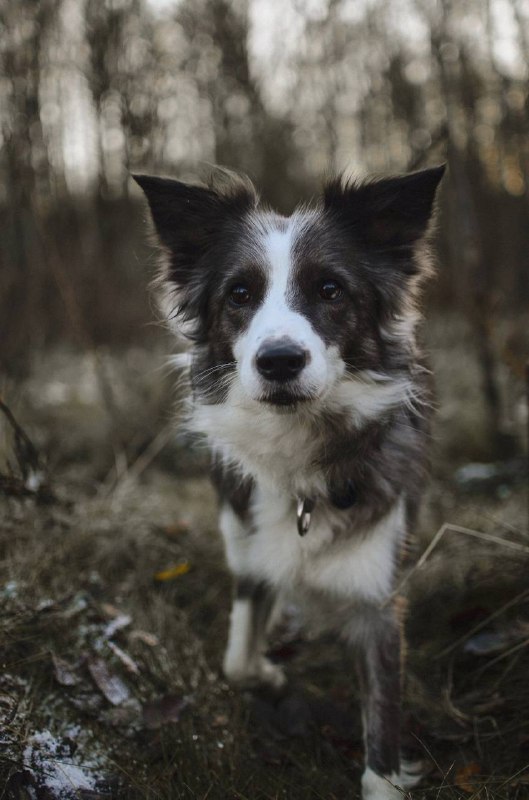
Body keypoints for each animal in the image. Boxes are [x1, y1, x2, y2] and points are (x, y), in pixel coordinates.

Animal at [134, 164, 444, 800]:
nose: (279, 361)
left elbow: (383, 725)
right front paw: (271, 675)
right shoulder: (249, 547)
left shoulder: (378, 597)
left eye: (330, 290)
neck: (297, 449)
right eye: (239, 294)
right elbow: (236, 660)